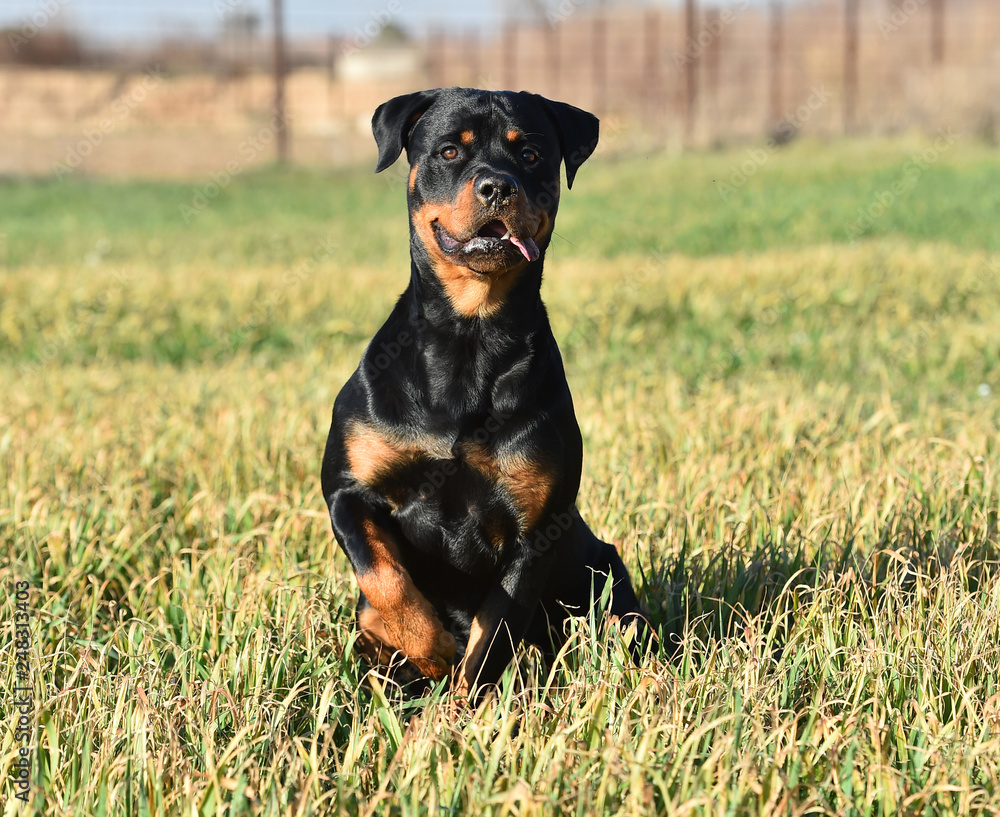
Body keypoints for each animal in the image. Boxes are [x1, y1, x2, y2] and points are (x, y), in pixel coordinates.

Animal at [322, 86, 648, 696]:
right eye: (450, 150)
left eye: (530, 154)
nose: (497, 185)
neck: (469, 337)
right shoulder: (348, 491)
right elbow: (386, 580)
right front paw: (428, 649)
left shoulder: (534, 530)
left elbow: (490, 639)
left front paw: (461, 703)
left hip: (605, 577)